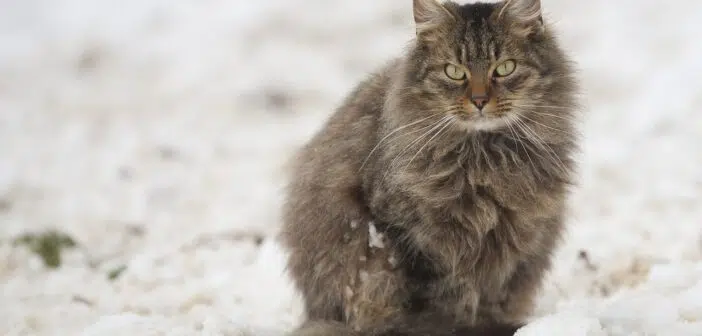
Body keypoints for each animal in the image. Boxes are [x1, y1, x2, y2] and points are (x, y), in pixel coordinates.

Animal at [278, 0, 580, 334]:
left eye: (504, 68)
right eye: (454, 72)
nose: (479, 101)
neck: (485, 159)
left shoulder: (514, 245)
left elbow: (492, 294)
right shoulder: (416, 242)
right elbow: (439, 302)